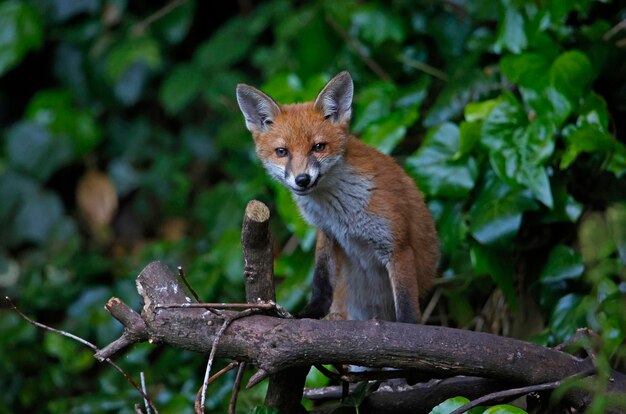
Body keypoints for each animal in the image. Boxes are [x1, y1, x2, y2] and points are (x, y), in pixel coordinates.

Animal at [235, 70, 438, 324]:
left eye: (318, 147)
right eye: (282, 152)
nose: (302, 179)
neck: (341, 212)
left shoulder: (398, 246)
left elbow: (406, 306)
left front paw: (408, 327)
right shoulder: (328, 232)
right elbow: (321, 282)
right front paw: (309, 314)